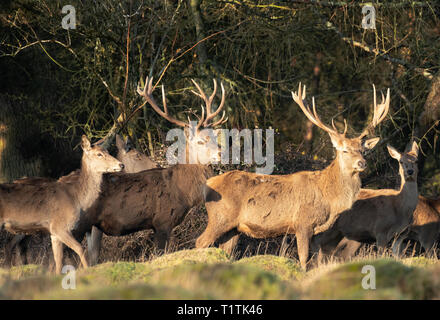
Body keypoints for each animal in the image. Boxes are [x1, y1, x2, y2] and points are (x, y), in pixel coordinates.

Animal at [0, 135, 124, 272]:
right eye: (99, 154)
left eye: (107, 151)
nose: (121, 164)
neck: (76, 199)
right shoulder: (59, 226)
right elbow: (80, 249)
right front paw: (87, 270)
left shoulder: (54, 233)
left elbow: (58, 260)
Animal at [196, 83, 388, 270]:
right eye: (345, 150)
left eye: (363, 150)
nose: (362, 163)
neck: (329, 197)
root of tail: (208, 183)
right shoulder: (302, 223)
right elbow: (303, 259)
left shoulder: (317, 232)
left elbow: (316, 260)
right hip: (220, 217)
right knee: (200, 242)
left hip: (233, 228)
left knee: (225, 250)